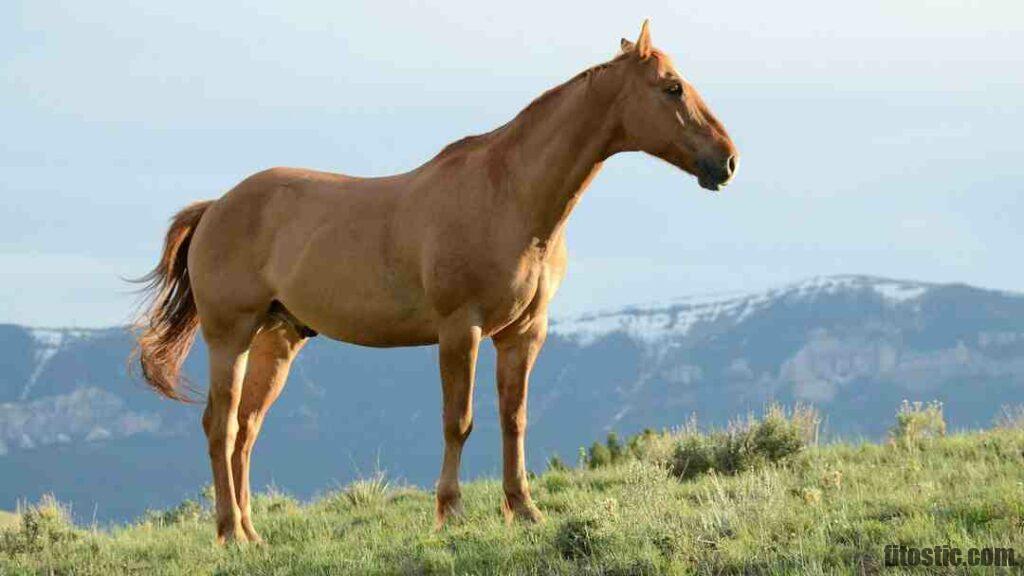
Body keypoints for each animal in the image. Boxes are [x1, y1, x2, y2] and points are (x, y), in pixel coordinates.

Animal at [132, 21, 737, 541]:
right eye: (672, 87)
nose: (727, 161)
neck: (509, 196)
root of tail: (216, 207)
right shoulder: (459, 330)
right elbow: (459, 421)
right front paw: (450, 513)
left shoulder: (523, 334)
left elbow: (514, 419)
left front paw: (524, 510)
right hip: (229, 336)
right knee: (221, 426)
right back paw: (229, 533)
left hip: (276, 340)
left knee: (246, 430)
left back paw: (252, 534)